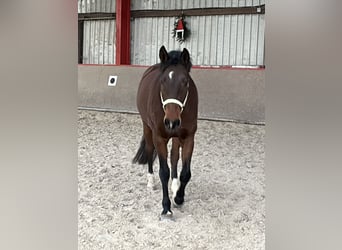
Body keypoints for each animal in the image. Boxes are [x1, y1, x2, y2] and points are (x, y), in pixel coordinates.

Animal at [133, 46, 198, 218]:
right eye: (162, 81)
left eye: (185, 81)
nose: (171, 121)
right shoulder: (159, 138)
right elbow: (163, 172)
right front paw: (166, 207)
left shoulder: (189, 138)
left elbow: (185, 172)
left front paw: (179, 197)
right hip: (147, 128)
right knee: (150, 150)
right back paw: (150, 182)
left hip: (176, 136)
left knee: (174, 156)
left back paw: (175, 187)